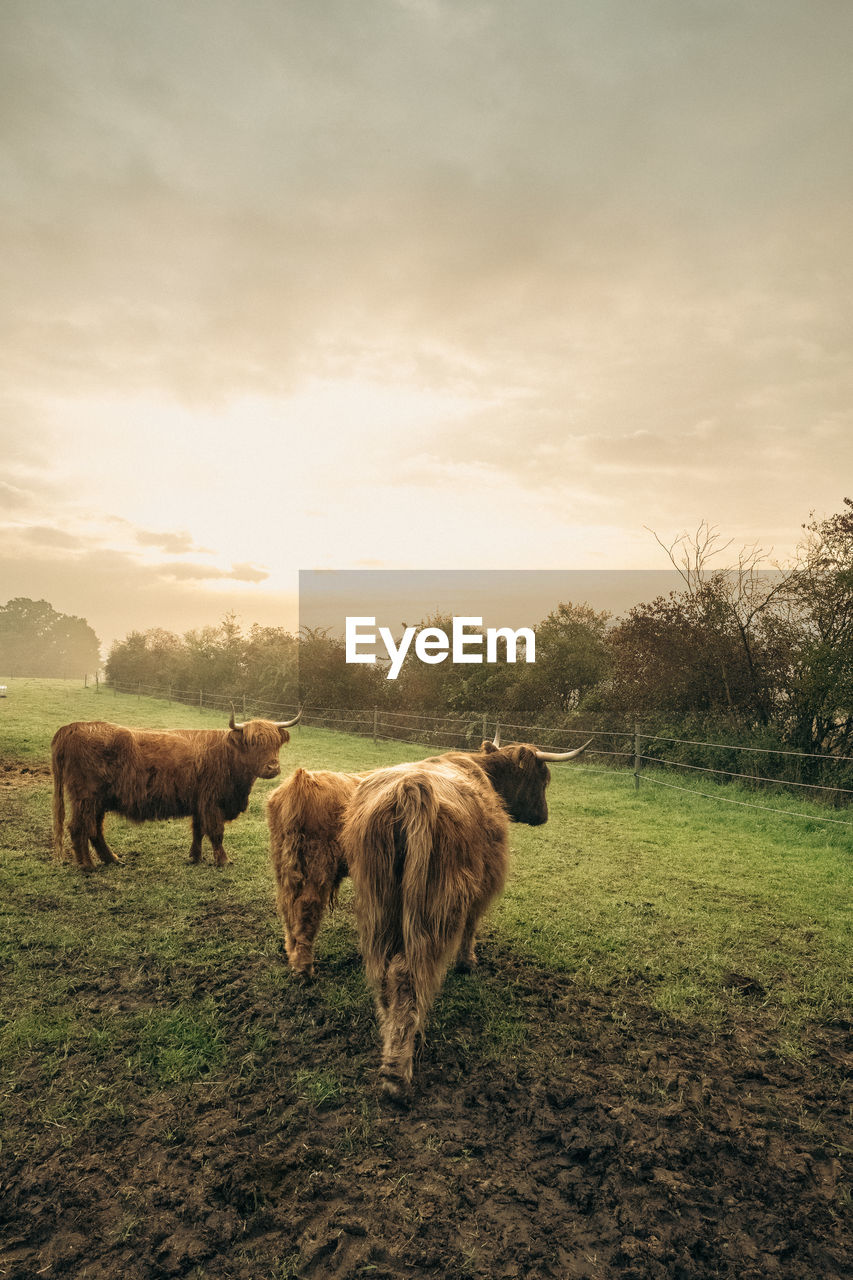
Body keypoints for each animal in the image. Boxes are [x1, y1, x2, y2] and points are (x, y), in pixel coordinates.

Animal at [51, 711, 298, 870]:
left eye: (276, 742)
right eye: (253, 742)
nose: (273, 767)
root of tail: (72, 728)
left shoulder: (200, 803)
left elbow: (198, 830)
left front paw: (195, 857)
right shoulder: (212, 802)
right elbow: (215, 832)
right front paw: (223, 860)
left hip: (98, 801)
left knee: (94, 829)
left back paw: (111, 859)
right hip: (86, 797)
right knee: (78, 827)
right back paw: (87, 865)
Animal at [338, 737, 584, 1105]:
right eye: (544, 778)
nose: (544, 816)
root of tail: (411, 790)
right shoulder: (482, 886)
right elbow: (471, 926)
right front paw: (467, 963)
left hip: (376, 900)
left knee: (382, 971)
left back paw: (388, 1035)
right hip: (436, 905)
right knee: (407, 973)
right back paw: (397, 1074)